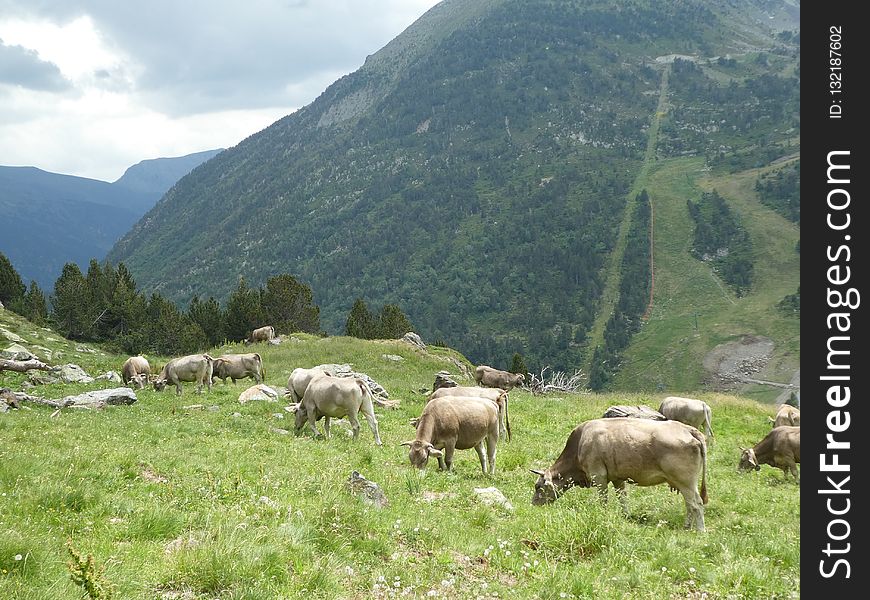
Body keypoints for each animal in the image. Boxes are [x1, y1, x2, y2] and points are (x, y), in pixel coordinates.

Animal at [532, 418, 708, 528]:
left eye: (538, 486)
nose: (533, 504)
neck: (580, 443)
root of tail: (688, 429)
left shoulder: (598, 476)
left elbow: (603, 500)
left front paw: (602, 515)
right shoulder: (618, 478)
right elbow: (623, 499)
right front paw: (626, 516)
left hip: (685, 481)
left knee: (696, 504)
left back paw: (700, 530)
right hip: (684, 484)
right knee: (689, 504)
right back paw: (687, 526)